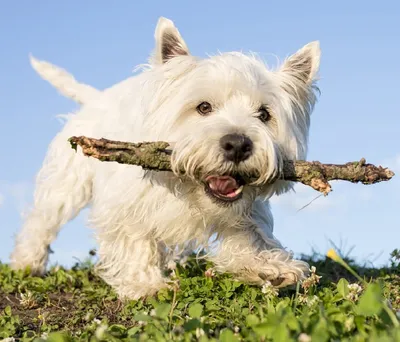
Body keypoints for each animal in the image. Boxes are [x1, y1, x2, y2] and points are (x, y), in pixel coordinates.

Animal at [10, 17, 320, 300]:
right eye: (203, 107)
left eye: (264, 114)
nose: (237, 145)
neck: (188, 191)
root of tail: (96, 98)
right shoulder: (124, 205)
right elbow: (135, 239)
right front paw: (146, 285)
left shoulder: (245, 210)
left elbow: (250, 233)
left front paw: (269, 267)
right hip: (66, 183)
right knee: (42, 221)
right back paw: (27, 263)